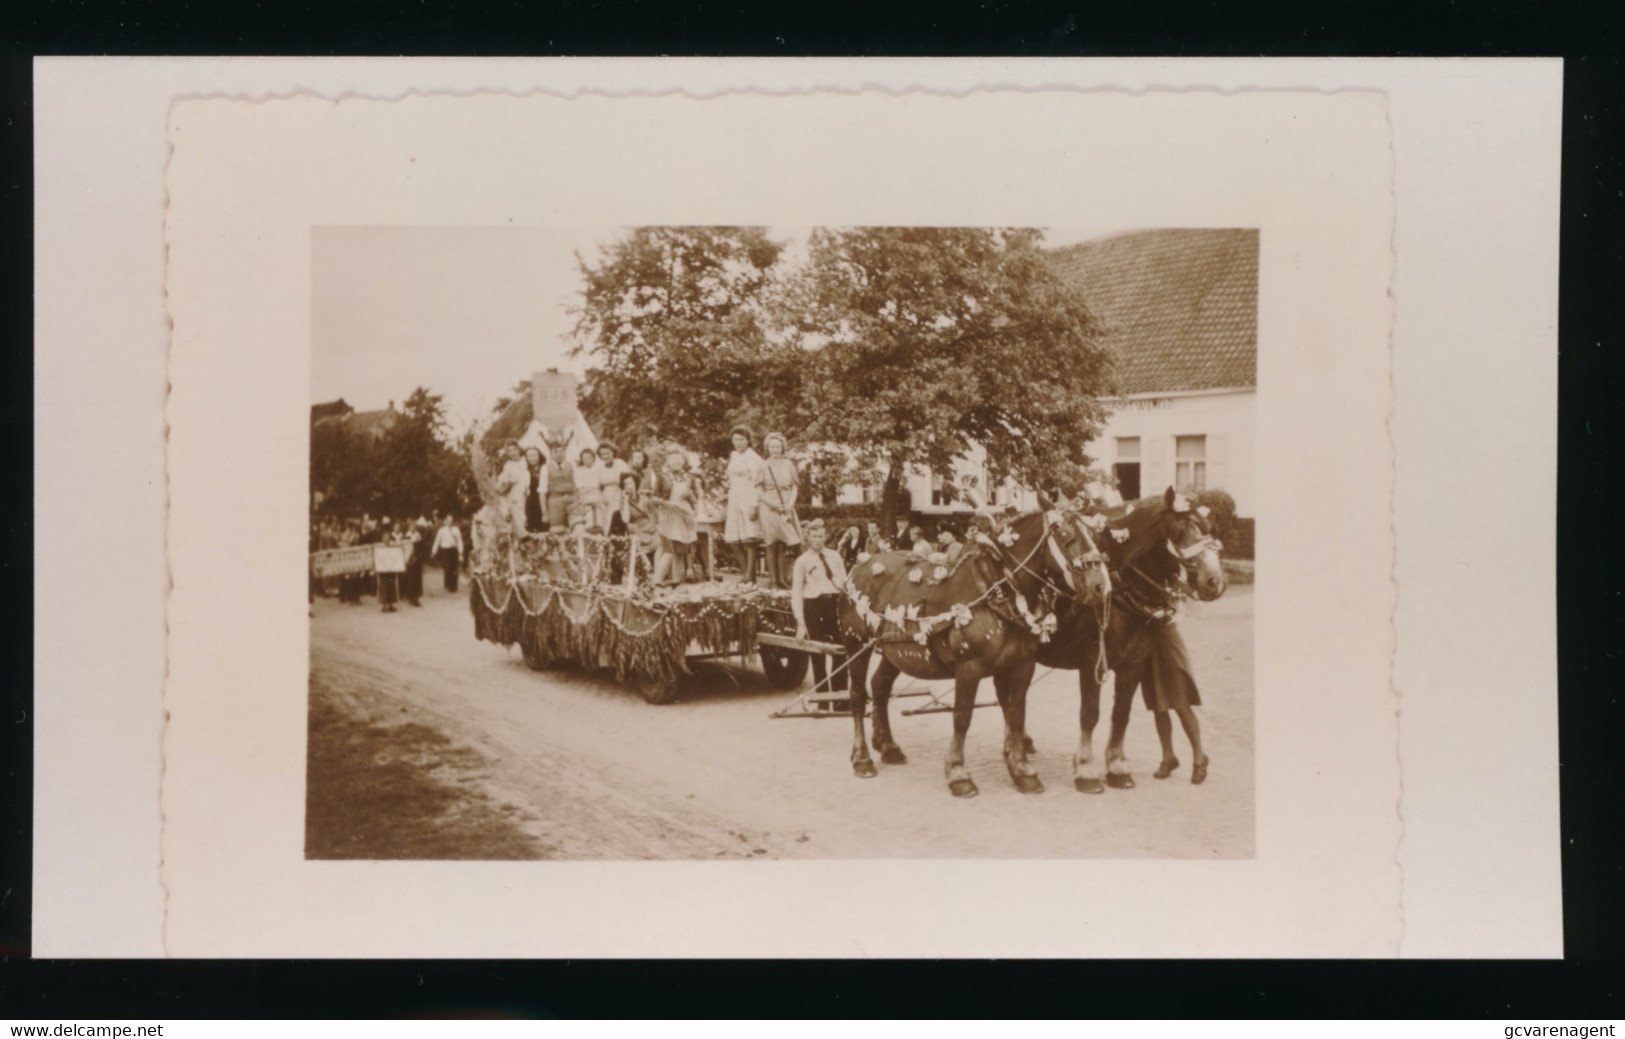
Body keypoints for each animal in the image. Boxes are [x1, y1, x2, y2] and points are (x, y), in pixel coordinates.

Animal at [838, 510, 1118, 796]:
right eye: (1066, 536)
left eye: (1096, 537)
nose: (1100, 586)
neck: (998, 591)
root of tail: (861, 565)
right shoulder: (968, 668)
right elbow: (962, 717)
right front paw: (958, 774)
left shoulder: (1022, 666)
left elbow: (1016, 715)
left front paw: (1022, 771)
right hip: (856, 644)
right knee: (858, 696)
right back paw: (862, 759)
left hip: (895, 652)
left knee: (879, 687)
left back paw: (888, 747)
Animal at [1040, 484, 1228, 793]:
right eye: (1177, 530)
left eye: (1208, 527)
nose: (1215, 582)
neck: (1120, 588)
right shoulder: (1092, 663)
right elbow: (1090, 714)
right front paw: (1086, 770)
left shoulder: (1134, 663)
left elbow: (1121, 713)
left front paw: (1116, 766)